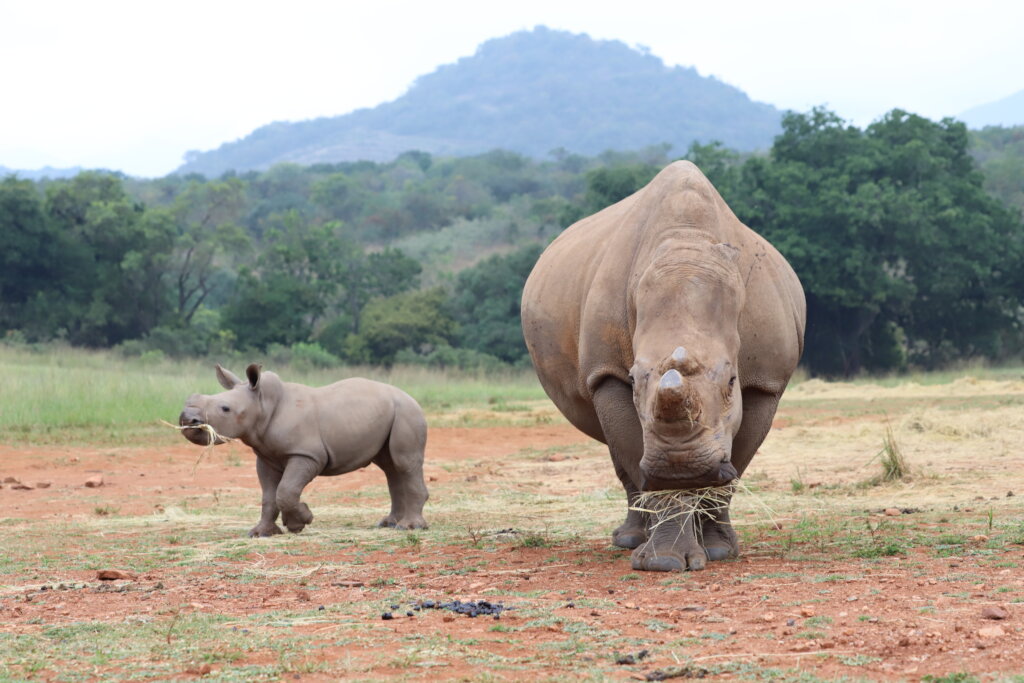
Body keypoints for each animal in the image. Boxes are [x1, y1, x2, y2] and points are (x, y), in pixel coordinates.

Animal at [179, 364, 429, 537]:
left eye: (225, 409)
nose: (187, 419)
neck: (263, 405)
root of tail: (410, 396)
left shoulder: (307, 454)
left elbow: (286, 491)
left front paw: (301, 521)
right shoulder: (266, 457)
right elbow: (269, 496)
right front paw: (261, 533)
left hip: (407, 412)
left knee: (404, 463)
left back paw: (409, 528)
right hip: (390, 413)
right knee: (390, 467)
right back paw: (389, 524)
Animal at [521, 161, 805, 571]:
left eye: (732, 381)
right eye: (634, 379)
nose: (680, 464)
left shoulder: (766, 382)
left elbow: (735, 464)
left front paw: (718, 551)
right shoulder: (607, 372)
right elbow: (634, 453)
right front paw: (664, 563)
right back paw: (628, 541)